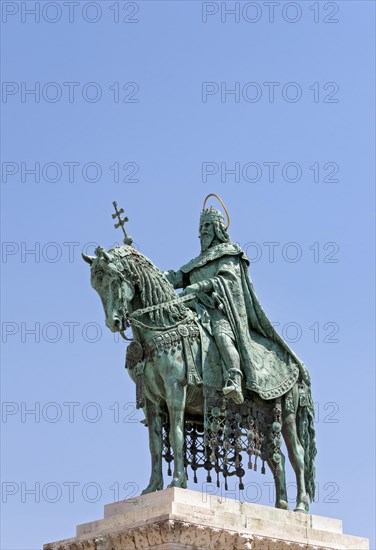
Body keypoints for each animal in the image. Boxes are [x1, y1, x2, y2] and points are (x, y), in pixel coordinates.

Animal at [83, 245, 318, 512]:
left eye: (114, 279)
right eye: (95, 285)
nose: (114, 322)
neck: (162, 326)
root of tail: (298, 364)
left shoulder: (175, 389)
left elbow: (175, 435)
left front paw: (177, 481)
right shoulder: (152, 401)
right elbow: (154, 444)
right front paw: (152, 487)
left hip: (287, 411)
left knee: (297, 454)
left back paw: (300, 506)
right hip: (266, 418)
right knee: (276, 458)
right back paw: (281, 506)